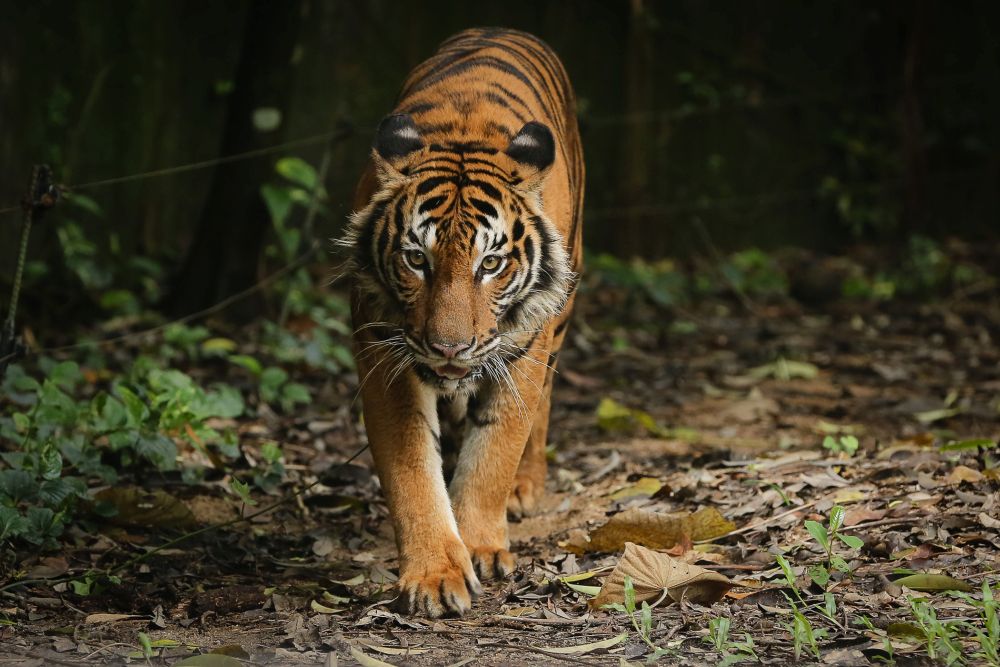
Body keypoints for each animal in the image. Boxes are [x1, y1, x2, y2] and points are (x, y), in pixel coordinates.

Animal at [339, 27, 584, 617]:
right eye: (415, 259)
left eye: (490, 264)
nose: (449, 347)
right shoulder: (384, 356)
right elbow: (410, 469)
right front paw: (435, 574)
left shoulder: (523, 348)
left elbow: (494, 450)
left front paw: (479, 547)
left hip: (559, 315)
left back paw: (524, 487)